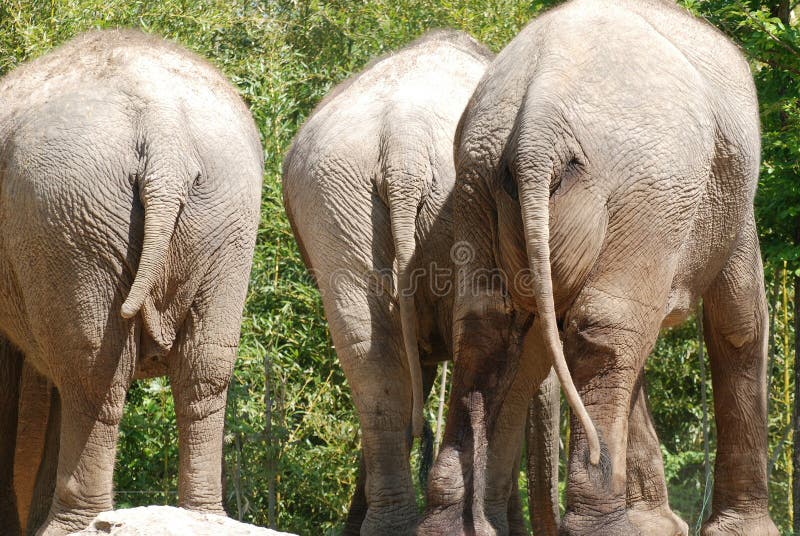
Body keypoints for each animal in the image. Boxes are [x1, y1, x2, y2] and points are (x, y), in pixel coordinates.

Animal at [0, 29, 262, 535]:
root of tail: (165, 135)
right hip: (227, 217)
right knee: (205, 366)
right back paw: (203, 515)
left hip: (68, 214)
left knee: (91, 371)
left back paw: (72, 525)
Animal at [419, 1, 778, 535]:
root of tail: (539, 120)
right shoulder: (728, 206)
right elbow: (739, 322)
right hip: (647, 191)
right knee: (608, 331)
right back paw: (603, 521)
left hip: (476, 183)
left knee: (488, 328)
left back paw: (449, 525)